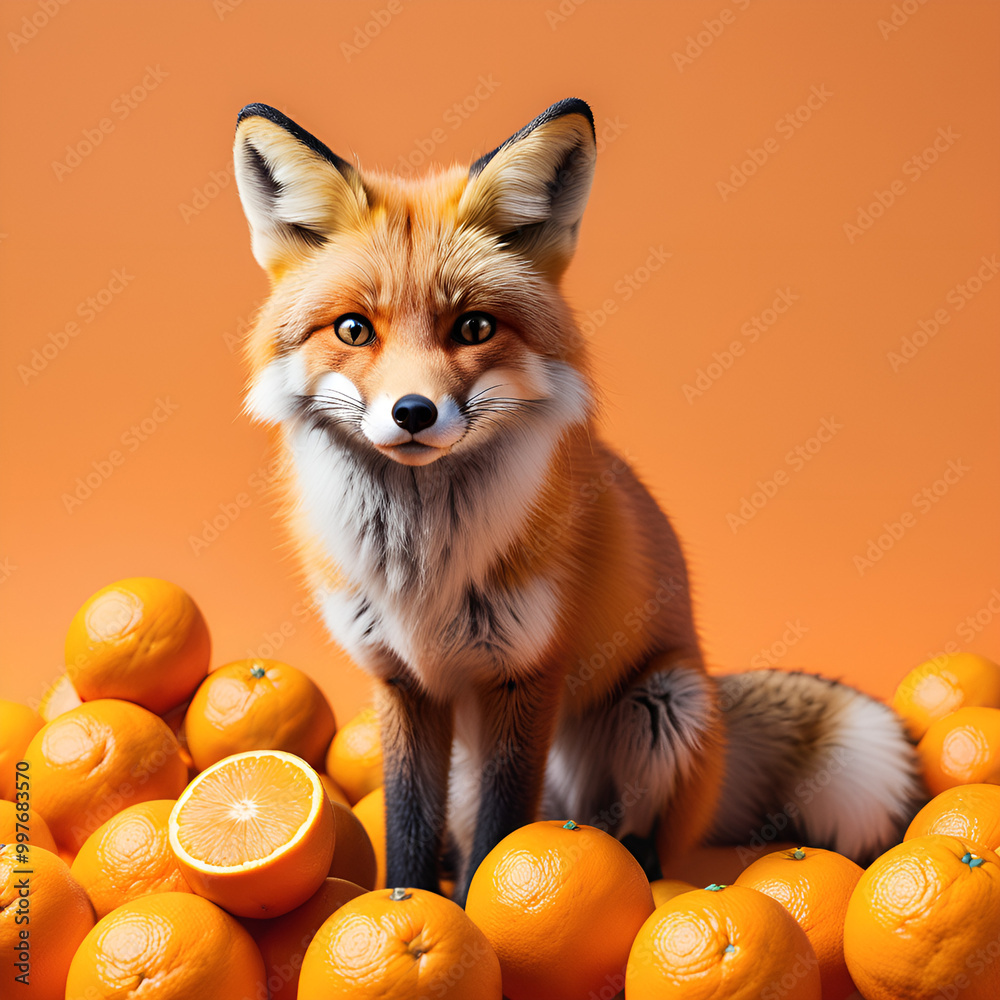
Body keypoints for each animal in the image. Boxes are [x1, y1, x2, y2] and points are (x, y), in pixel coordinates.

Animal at [231, 98, 925, 903]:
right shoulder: (403, 683)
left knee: (634, 837)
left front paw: (480, 914)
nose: (412, 413)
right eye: (352, 329)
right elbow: (407, 823)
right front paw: (408, 899)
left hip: (662, 705)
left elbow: (502, 833)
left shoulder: (527, 673)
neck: (422, 568)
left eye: (473, 326)